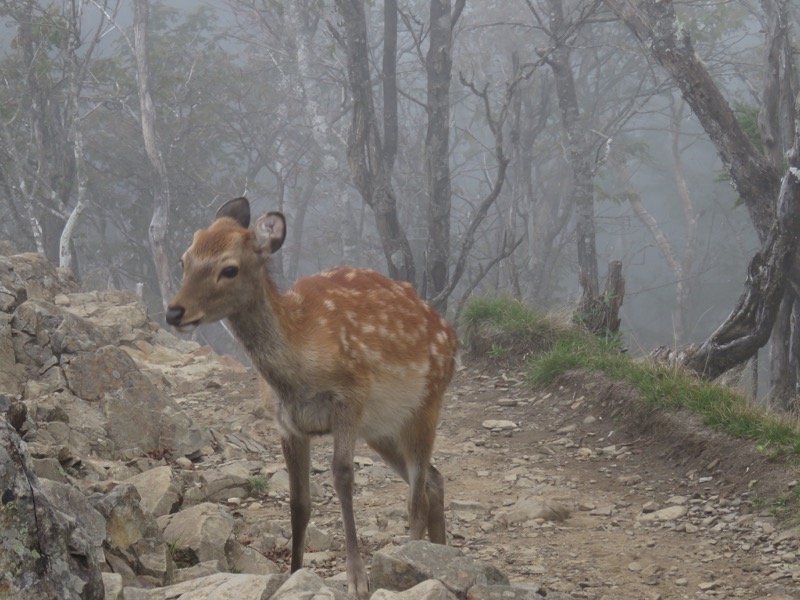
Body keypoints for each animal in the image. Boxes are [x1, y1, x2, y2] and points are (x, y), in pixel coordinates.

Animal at [164, 198, 456, 600]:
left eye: (229, 268)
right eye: (184, 260)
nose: (174, 311)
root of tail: (451, 336)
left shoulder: (350, 398)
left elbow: (343, 477)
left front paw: (357, 578)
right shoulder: (287, 423)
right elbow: (299, 502)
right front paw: (294, 572)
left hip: (426, 404)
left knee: (416, 496)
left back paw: (415, 556)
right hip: (381, 428)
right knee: (433, 479)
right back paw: (440, 554)